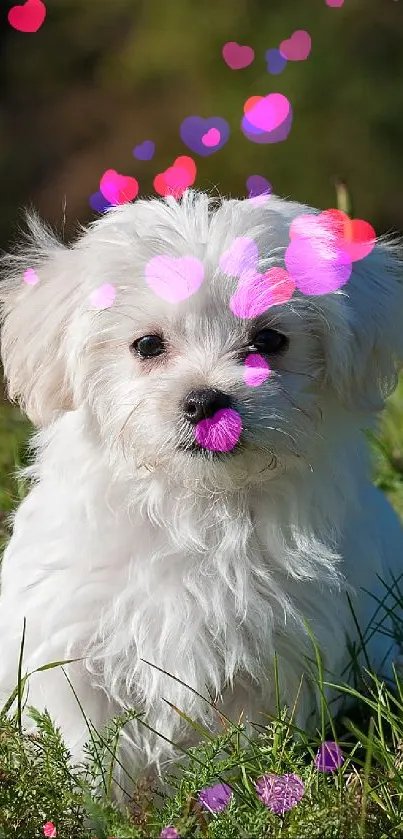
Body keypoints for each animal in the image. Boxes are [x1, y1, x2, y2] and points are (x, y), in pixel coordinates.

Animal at [0, 192, 403, 796]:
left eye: (270, 340)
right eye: (147, 345)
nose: (205, 400)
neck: (197, 505)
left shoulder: (278, 654)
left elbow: (246, 742)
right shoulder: (70, 644)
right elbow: (84, 744)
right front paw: (94, 804)